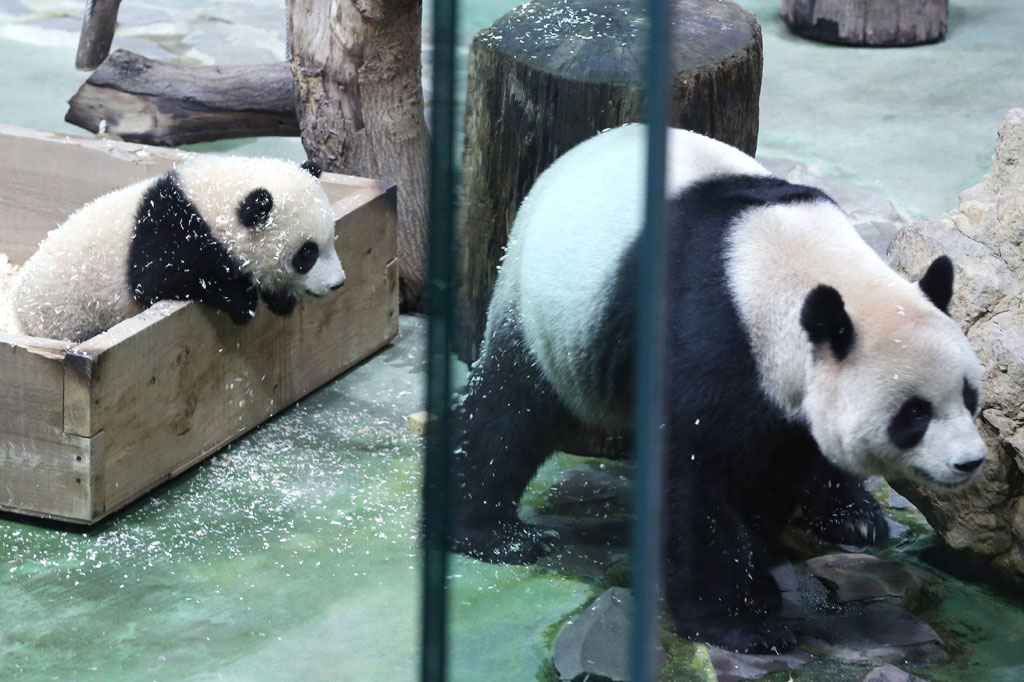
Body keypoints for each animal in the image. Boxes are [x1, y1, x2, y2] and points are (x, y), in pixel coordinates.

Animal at [12, 156, 345, 342]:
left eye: (331, 238)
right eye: (307, 253)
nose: (338, 284)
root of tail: (19, 312)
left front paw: (279, 299)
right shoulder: (169, 232)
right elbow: (162, 279)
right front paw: (241, 300)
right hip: (67, 315)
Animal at [447, 124, 987, 653]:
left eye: (968, 396)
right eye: (913, 414)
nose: (970, 462)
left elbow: (783, 467)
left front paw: (762, 574)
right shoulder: (708, 336)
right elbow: (695, 485)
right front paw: (742, 623)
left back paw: (854, 517)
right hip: (546, 309)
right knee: (510, 413)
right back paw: (497, 536)